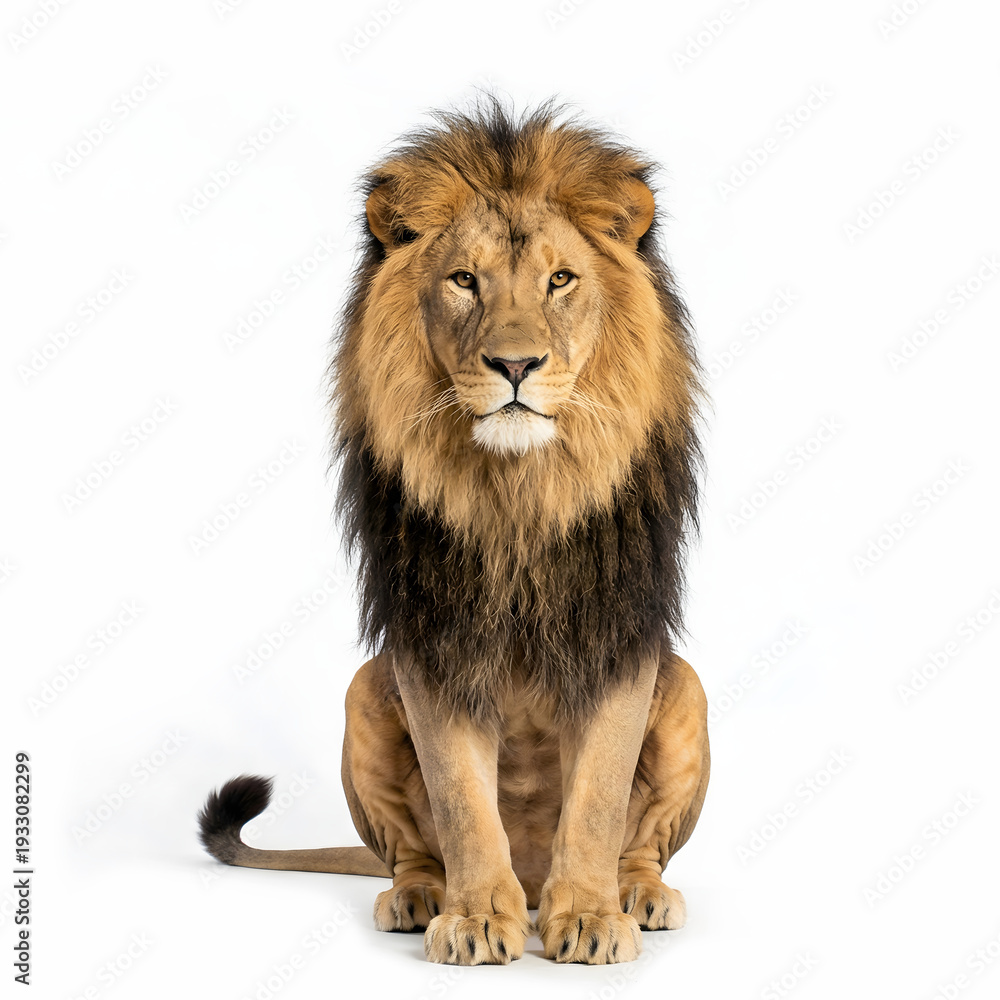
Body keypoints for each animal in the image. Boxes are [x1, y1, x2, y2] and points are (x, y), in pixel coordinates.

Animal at [198, 100, 710, 967]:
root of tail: (532, 883)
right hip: (364, 691)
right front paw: (473, 919)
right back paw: (418, 897)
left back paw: (637, 895)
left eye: (560, 280)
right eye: (464, 280)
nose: (515, 365)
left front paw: (592, 917)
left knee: (640, 845)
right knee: (411, 849)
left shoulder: (616, 631)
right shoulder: (433, 637)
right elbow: (462, 801)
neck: (519, 494)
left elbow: (599, 796)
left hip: (688, 690)